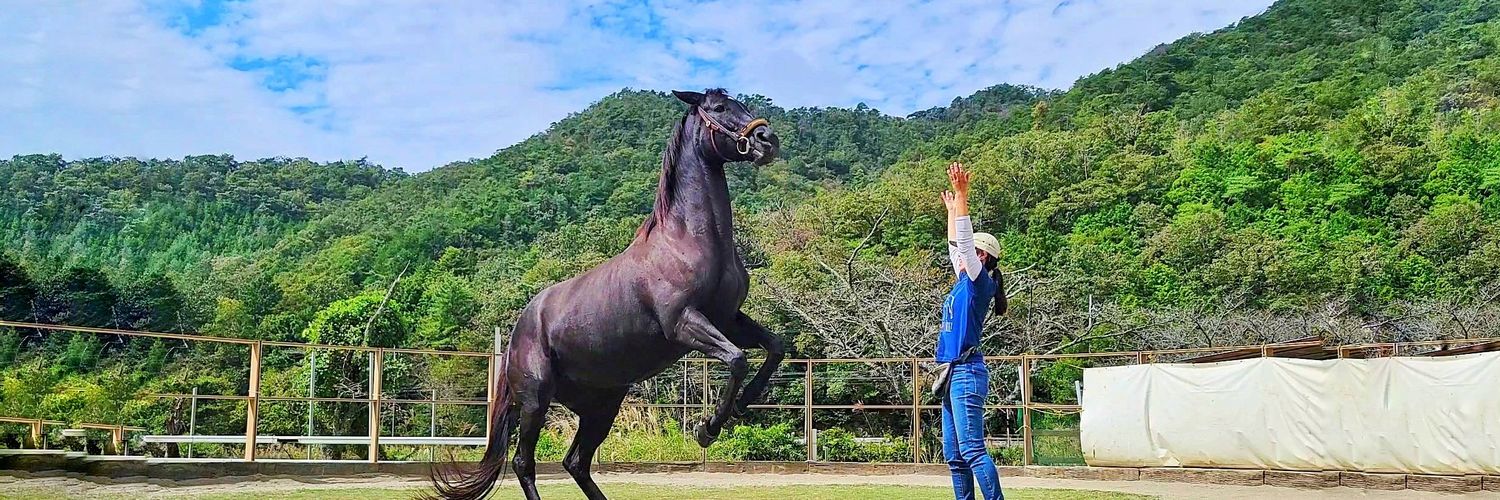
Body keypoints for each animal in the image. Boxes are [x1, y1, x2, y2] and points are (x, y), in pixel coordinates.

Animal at [427, 89, 784, 500]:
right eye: (719, 108)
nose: (767, 141)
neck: (686, 241)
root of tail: (520, 329)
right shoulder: (684, 323)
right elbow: (738, 359)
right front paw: (707, 429)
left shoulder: (728, 319)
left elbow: (775, 347)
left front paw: (739, 407)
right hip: (535, 402)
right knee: (523, 463)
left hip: (602, 406)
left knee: (576, 462)